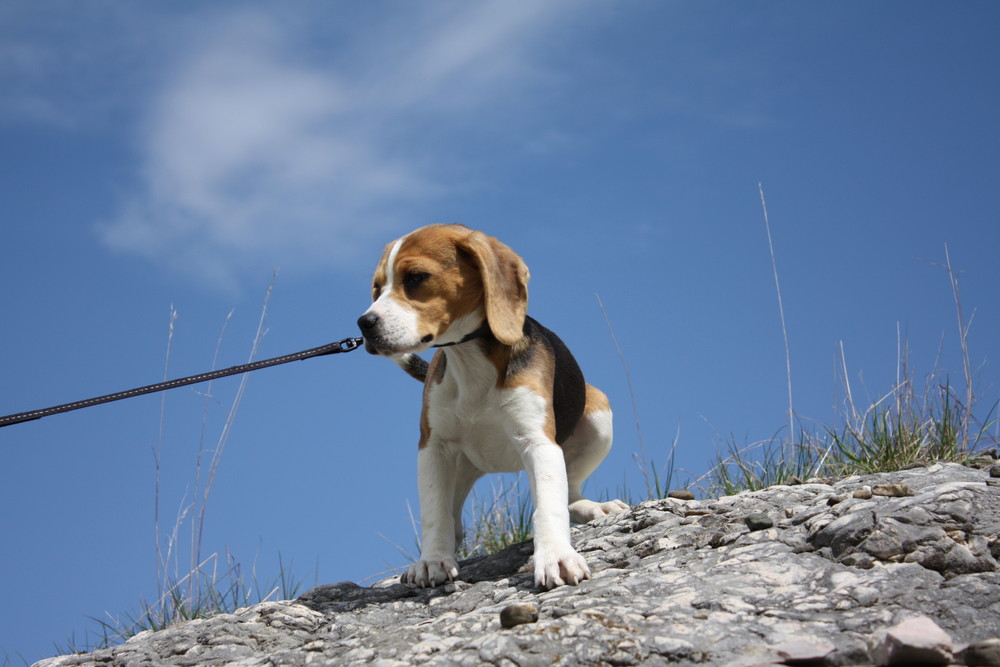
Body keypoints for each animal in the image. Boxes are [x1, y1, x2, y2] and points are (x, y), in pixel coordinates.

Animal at [358, 226, 624, 588]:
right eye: (376, 288)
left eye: (415, 277)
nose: (364, 323)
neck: (469, 358)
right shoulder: (433, 447)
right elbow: (434, 511)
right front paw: (432, 560)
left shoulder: (538, 442)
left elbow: (549, 505)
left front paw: (556, 556)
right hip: (460, 466)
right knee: (453, 517)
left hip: (598, 412)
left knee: (569, 492)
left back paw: (594, 507)